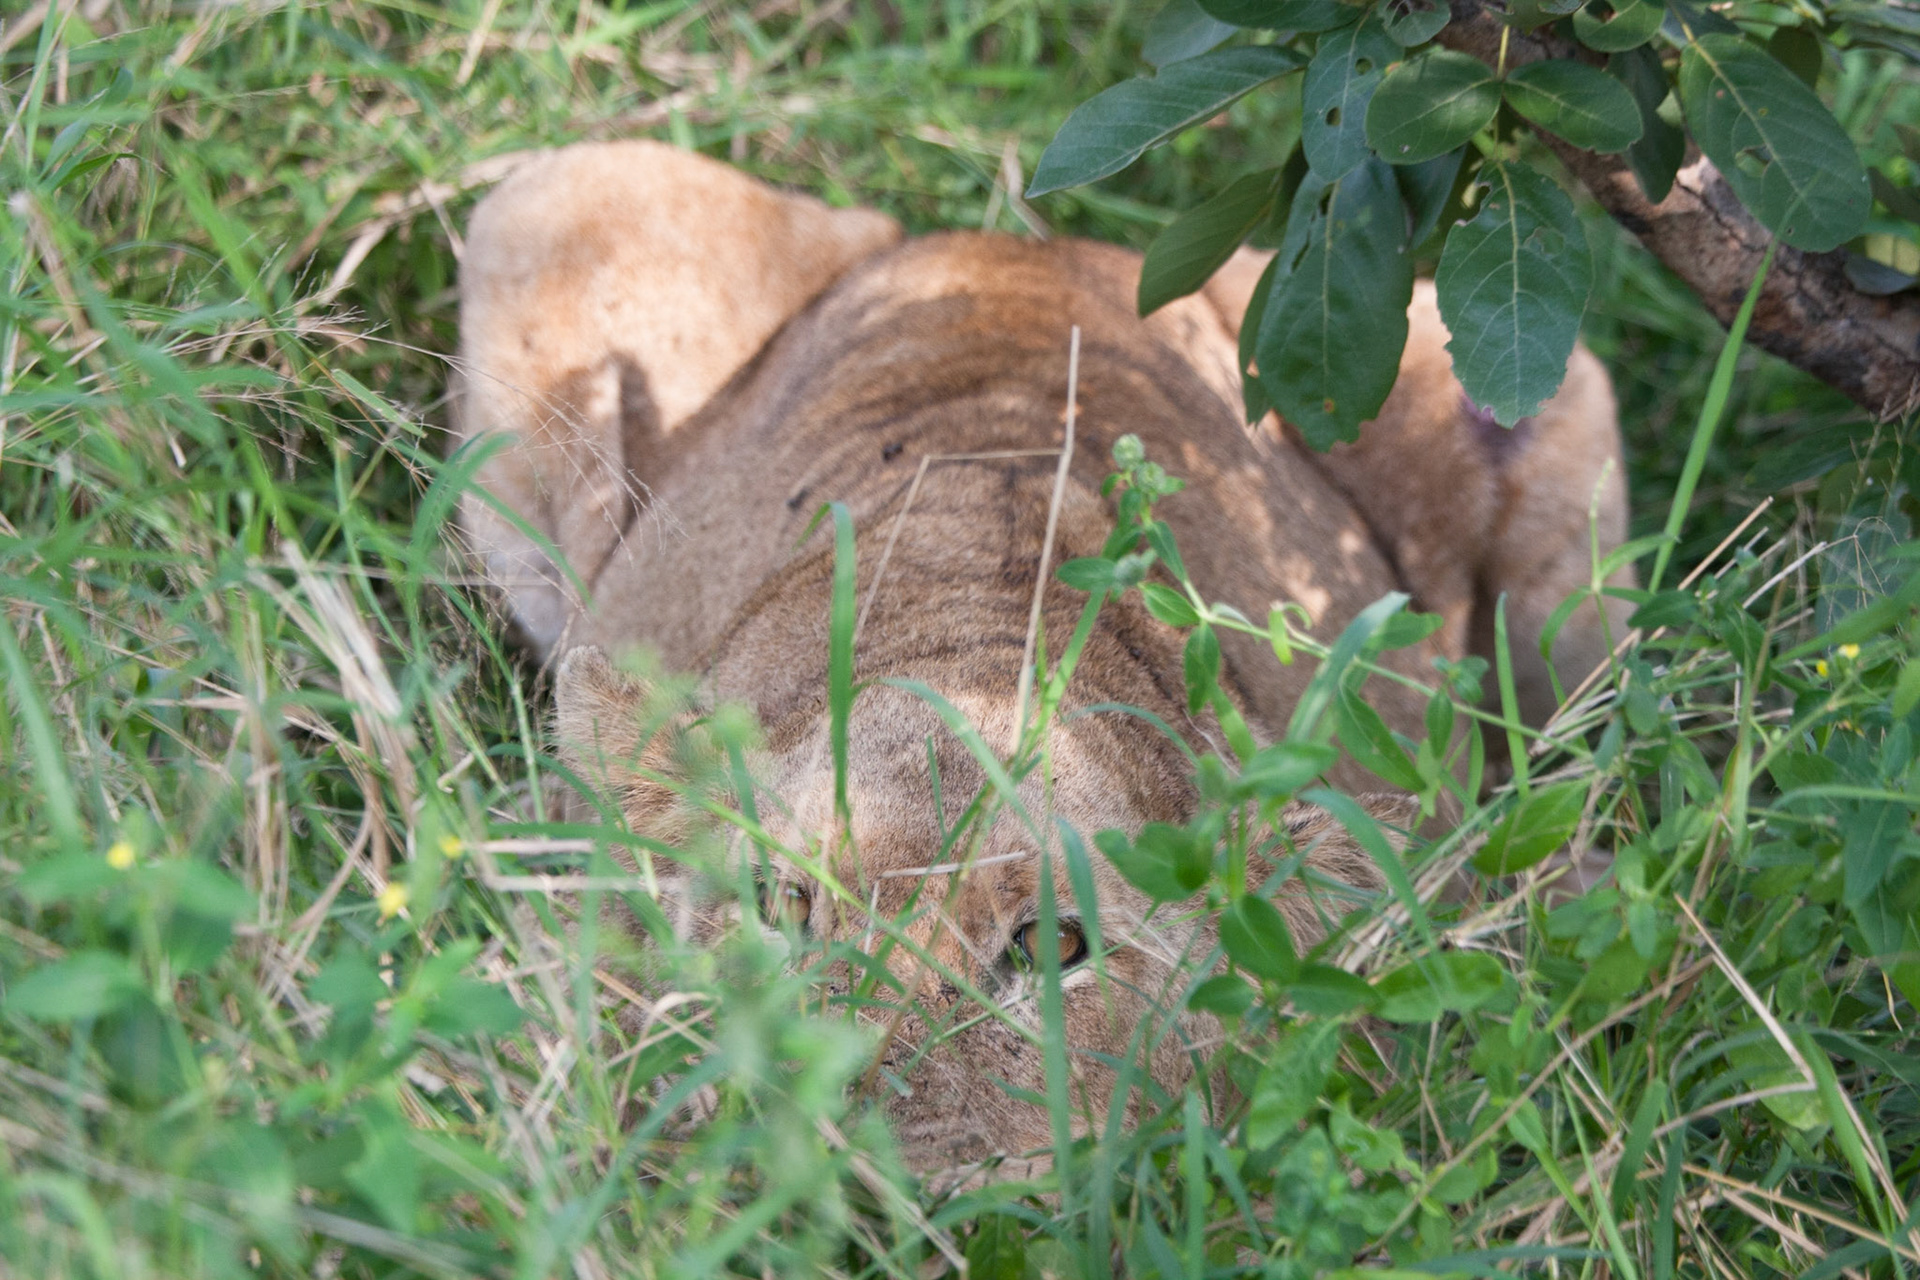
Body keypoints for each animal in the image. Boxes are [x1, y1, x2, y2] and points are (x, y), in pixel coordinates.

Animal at [450, 140, 1631, 1175]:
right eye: (784, 909)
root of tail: (1029, 247)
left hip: (1545, 392)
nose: (828, 1170)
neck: (981, 636)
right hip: (550, 206)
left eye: (1052, 950)